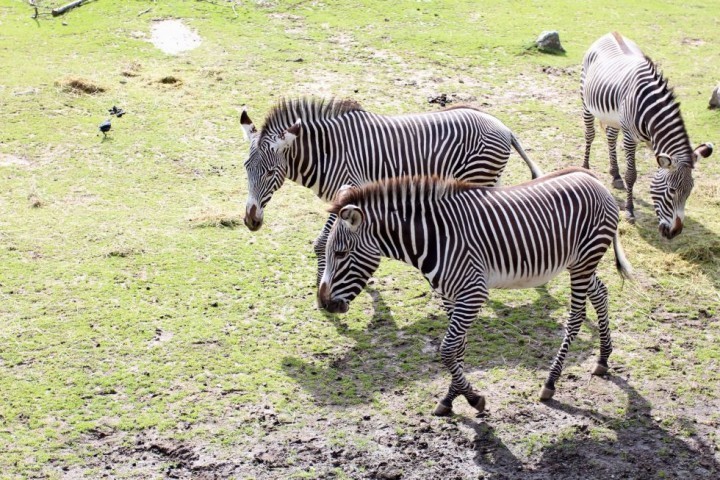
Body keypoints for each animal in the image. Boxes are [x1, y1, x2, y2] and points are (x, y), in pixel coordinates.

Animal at [239, 98, 544, 284]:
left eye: (270, 172)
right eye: (246, 168)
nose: (251, 221)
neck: (327, 153)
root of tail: (504, 127)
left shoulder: (349, 189)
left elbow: (323, 242)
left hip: (479, 175)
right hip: (491, 178)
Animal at [318, 170, 632, 416]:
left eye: (341, 253)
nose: (324, 303)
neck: (434, 237)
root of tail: (591, 177)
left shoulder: (473, 293)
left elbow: (446, 350)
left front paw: (472, 399)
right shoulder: (450, 295)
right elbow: (457, 349)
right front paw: (451, 398)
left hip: (584, 260)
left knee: (576, 316)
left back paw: (551, 382)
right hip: (578, 262)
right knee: (600, 293)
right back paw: (603, 359)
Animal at [580, 31, 716, 238]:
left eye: (690, 191)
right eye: (672, 190)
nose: (674, 233)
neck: (652, 110)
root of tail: (611, 33)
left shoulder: (654, 142)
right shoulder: (630, 137)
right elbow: (632, 175)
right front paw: (629, 210)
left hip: (614, 118)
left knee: (611, 137)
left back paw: (615, 175)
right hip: (586, 101)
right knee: (590, 134)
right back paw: (586, 167)